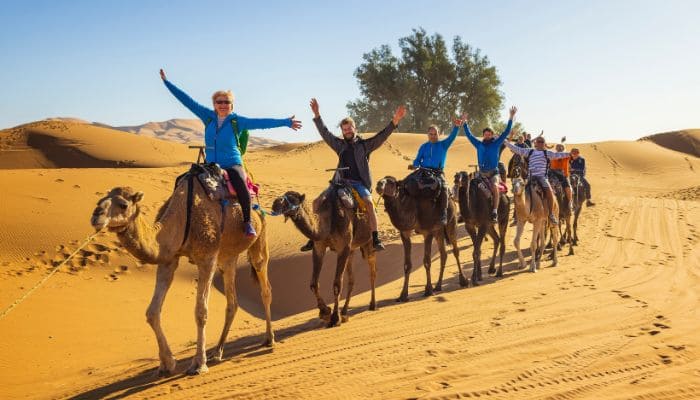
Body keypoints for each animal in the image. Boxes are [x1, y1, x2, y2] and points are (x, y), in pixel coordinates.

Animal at [94, 180, 274, 376]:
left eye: (123, 204)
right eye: (100, 200)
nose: (96, 216)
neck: (180, 219)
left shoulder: (207, 257)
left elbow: (201, 312)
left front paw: (198, 364)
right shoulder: (169, 259)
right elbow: (152, 312)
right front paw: (167, 363)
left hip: (260, 238)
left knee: (265, 287)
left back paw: (269, 339)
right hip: (228, 256)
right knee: (232, 302)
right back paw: (217, 351)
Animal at [270, 186, 378, 326]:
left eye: (293, 200)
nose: (275, 203)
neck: (329, 222)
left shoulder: (343, 248)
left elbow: (337, 284)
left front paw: (335, 318)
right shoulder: (319, 247)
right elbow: (313, 283)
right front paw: (325, 312)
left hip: (368, 242)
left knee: (372, 272)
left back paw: (372, 305)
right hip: (352, 250)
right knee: (352, 279)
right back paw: (344, 312)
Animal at [374, 173, 468, 302]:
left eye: (391, 182)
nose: (378, 185)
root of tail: (452, 200)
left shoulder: (427, 232)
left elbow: (427, 261)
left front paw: (428, 290)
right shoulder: (404, 233)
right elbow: (407, 264)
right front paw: (403, 295)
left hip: (451, 223)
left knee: (455, 250)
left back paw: (463, 280)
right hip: (438, 231)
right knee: (443, 254)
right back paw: (438, 285)